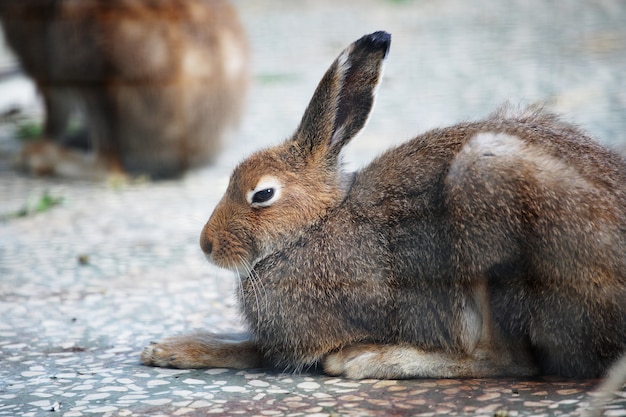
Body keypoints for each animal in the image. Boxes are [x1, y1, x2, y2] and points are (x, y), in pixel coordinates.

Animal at [141, 30, 624, 378]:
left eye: (262, 195)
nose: (206, 245)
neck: (315, 225)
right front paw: (164, 349)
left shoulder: (312, 332)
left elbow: (252, 350)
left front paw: (176, 349)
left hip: (489, 191)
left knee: (508, 362)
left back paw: (372, 360)